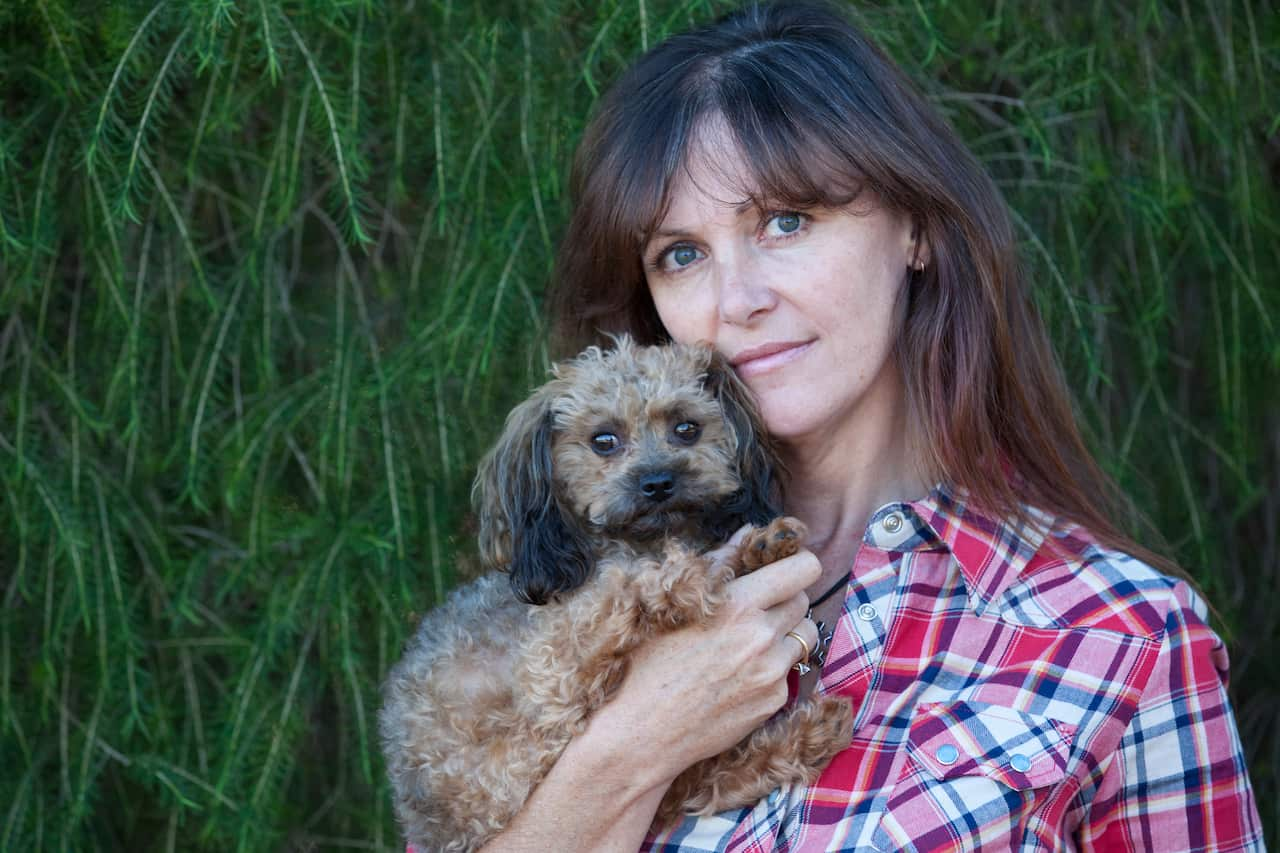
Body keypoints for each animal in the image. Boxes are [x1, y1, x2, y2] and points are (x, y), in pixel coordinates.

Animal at [378, 335, 860, 845]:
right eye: (603, 441)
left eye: (687, 428)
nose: (658, 482)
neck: (641, 541)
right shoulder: (550, 670)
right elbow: (616, 592)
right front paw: (692, 576)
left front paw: (756, 548)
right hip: (521, 755)